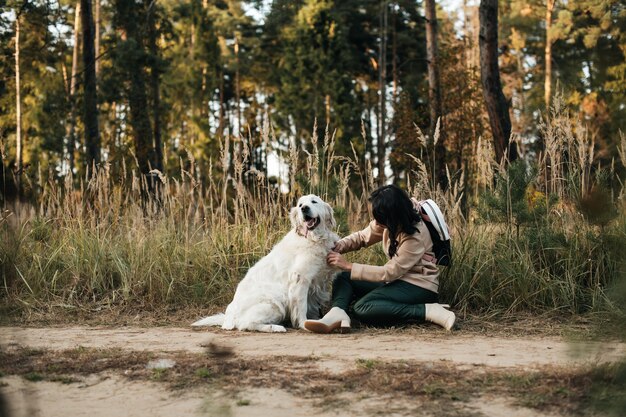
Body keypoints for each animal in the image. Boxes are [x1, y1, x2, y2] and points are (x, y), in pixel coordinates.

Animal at [190, 194, 338, 332]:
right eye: (300, 204)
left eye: (314, 202)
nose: (304, 208)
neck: (313, 238)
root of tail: (228, 318)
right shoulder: (300, 279)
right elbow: (301, 307)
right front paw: (304, 324)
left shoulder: (317, 282)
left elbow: (311, 306)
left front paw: (316, 321)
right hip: (276, 301)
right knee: (245, 324)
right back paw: (275, 327)